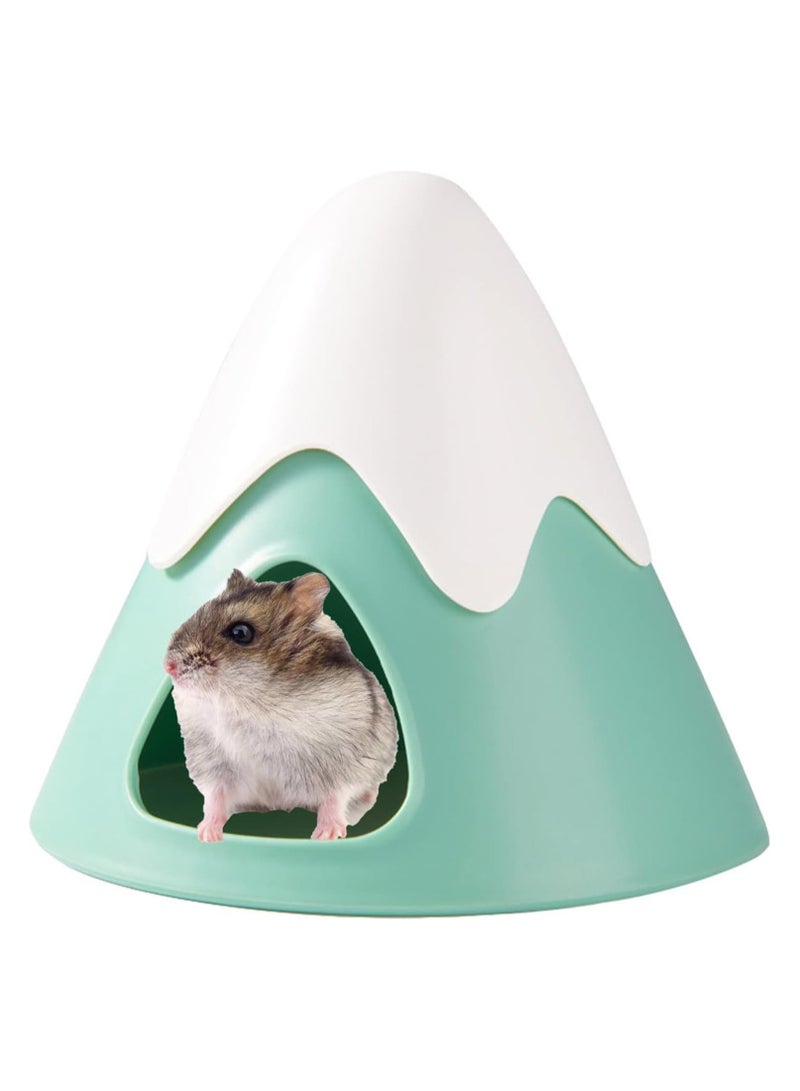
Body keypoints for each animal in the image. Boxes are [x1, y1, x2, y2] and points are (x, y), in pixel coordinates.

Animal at [164, 569, 398, 842]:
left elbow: (335, 797)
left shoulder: (345, 762)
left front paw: (324, 835)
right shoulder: (212, 764)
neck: (246, 703)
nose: (168, 666)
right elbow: (215, 797)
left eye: (241, 632)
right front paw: (206, 834)